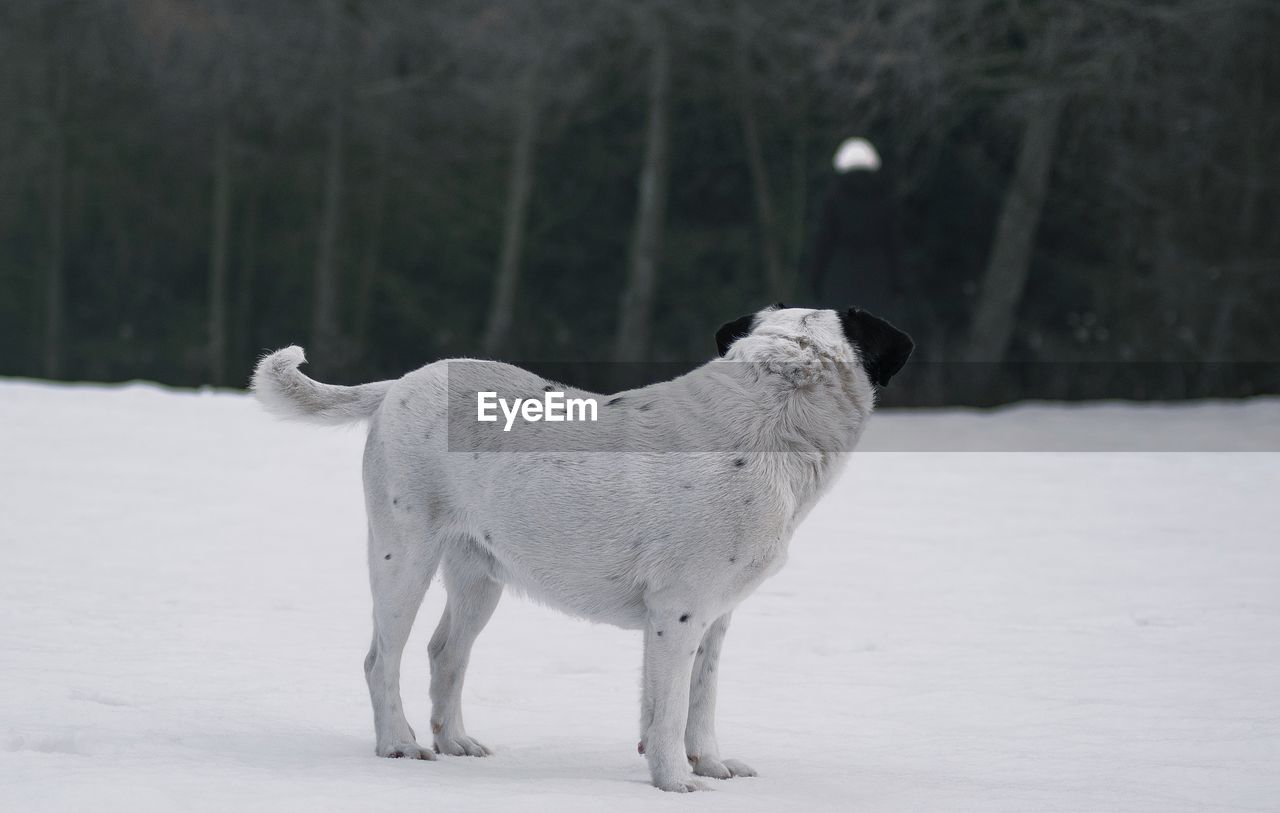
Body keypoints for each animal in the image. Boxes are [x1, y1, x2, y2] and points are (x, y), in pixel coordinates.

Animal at [249, 304, 911, 793]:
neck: (776, 414)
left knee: (445, 654)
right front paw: (677, 783)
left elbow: (699, 702)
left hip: (480, 579)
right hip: (403, 559)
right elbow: (672, 709)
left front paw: (710, 765)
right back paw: (399, 744)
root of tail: (399, 385)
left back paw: (456, 741)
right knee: (381, 659)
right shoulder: (679, 613)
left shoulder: (715, 619)